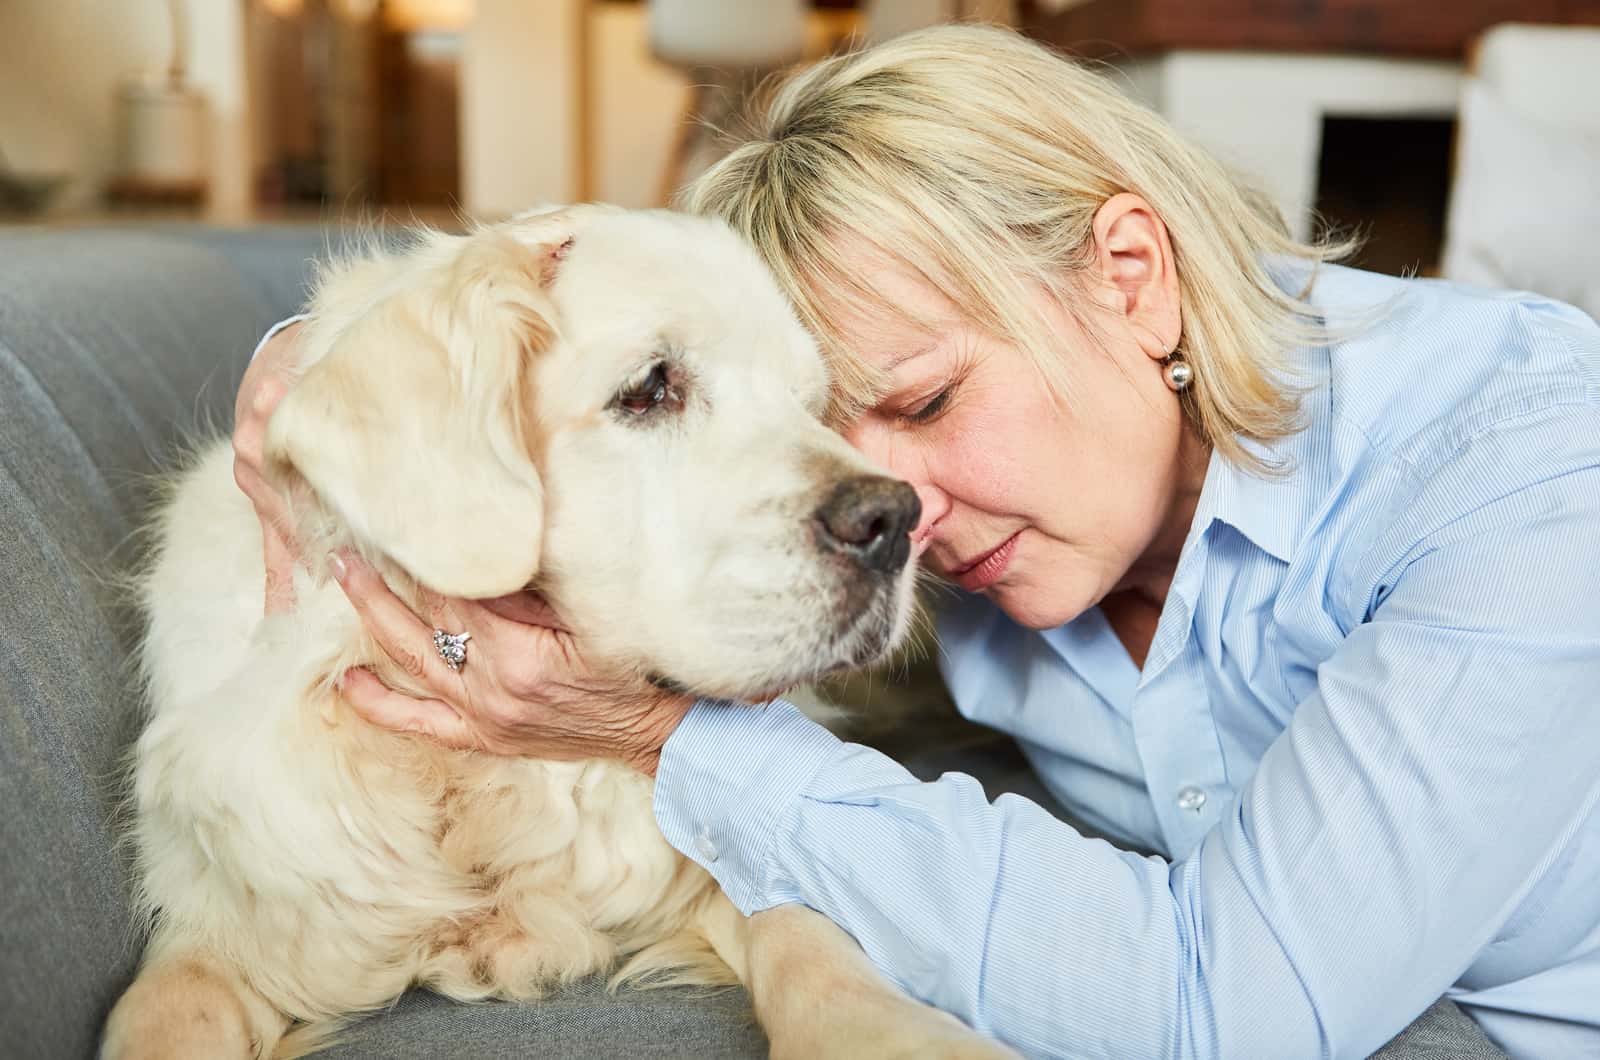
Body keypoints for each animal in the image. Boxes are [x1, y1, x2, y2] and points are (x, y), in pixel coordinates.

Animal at [103, 208, 1011, 1060]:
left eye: (810, 407)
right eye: (648, 388)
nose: (893, 521)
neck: (474, 778)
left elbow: (808, 934)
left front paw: (893, 1033)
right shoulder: (224, 918)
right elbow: (167, 1010)